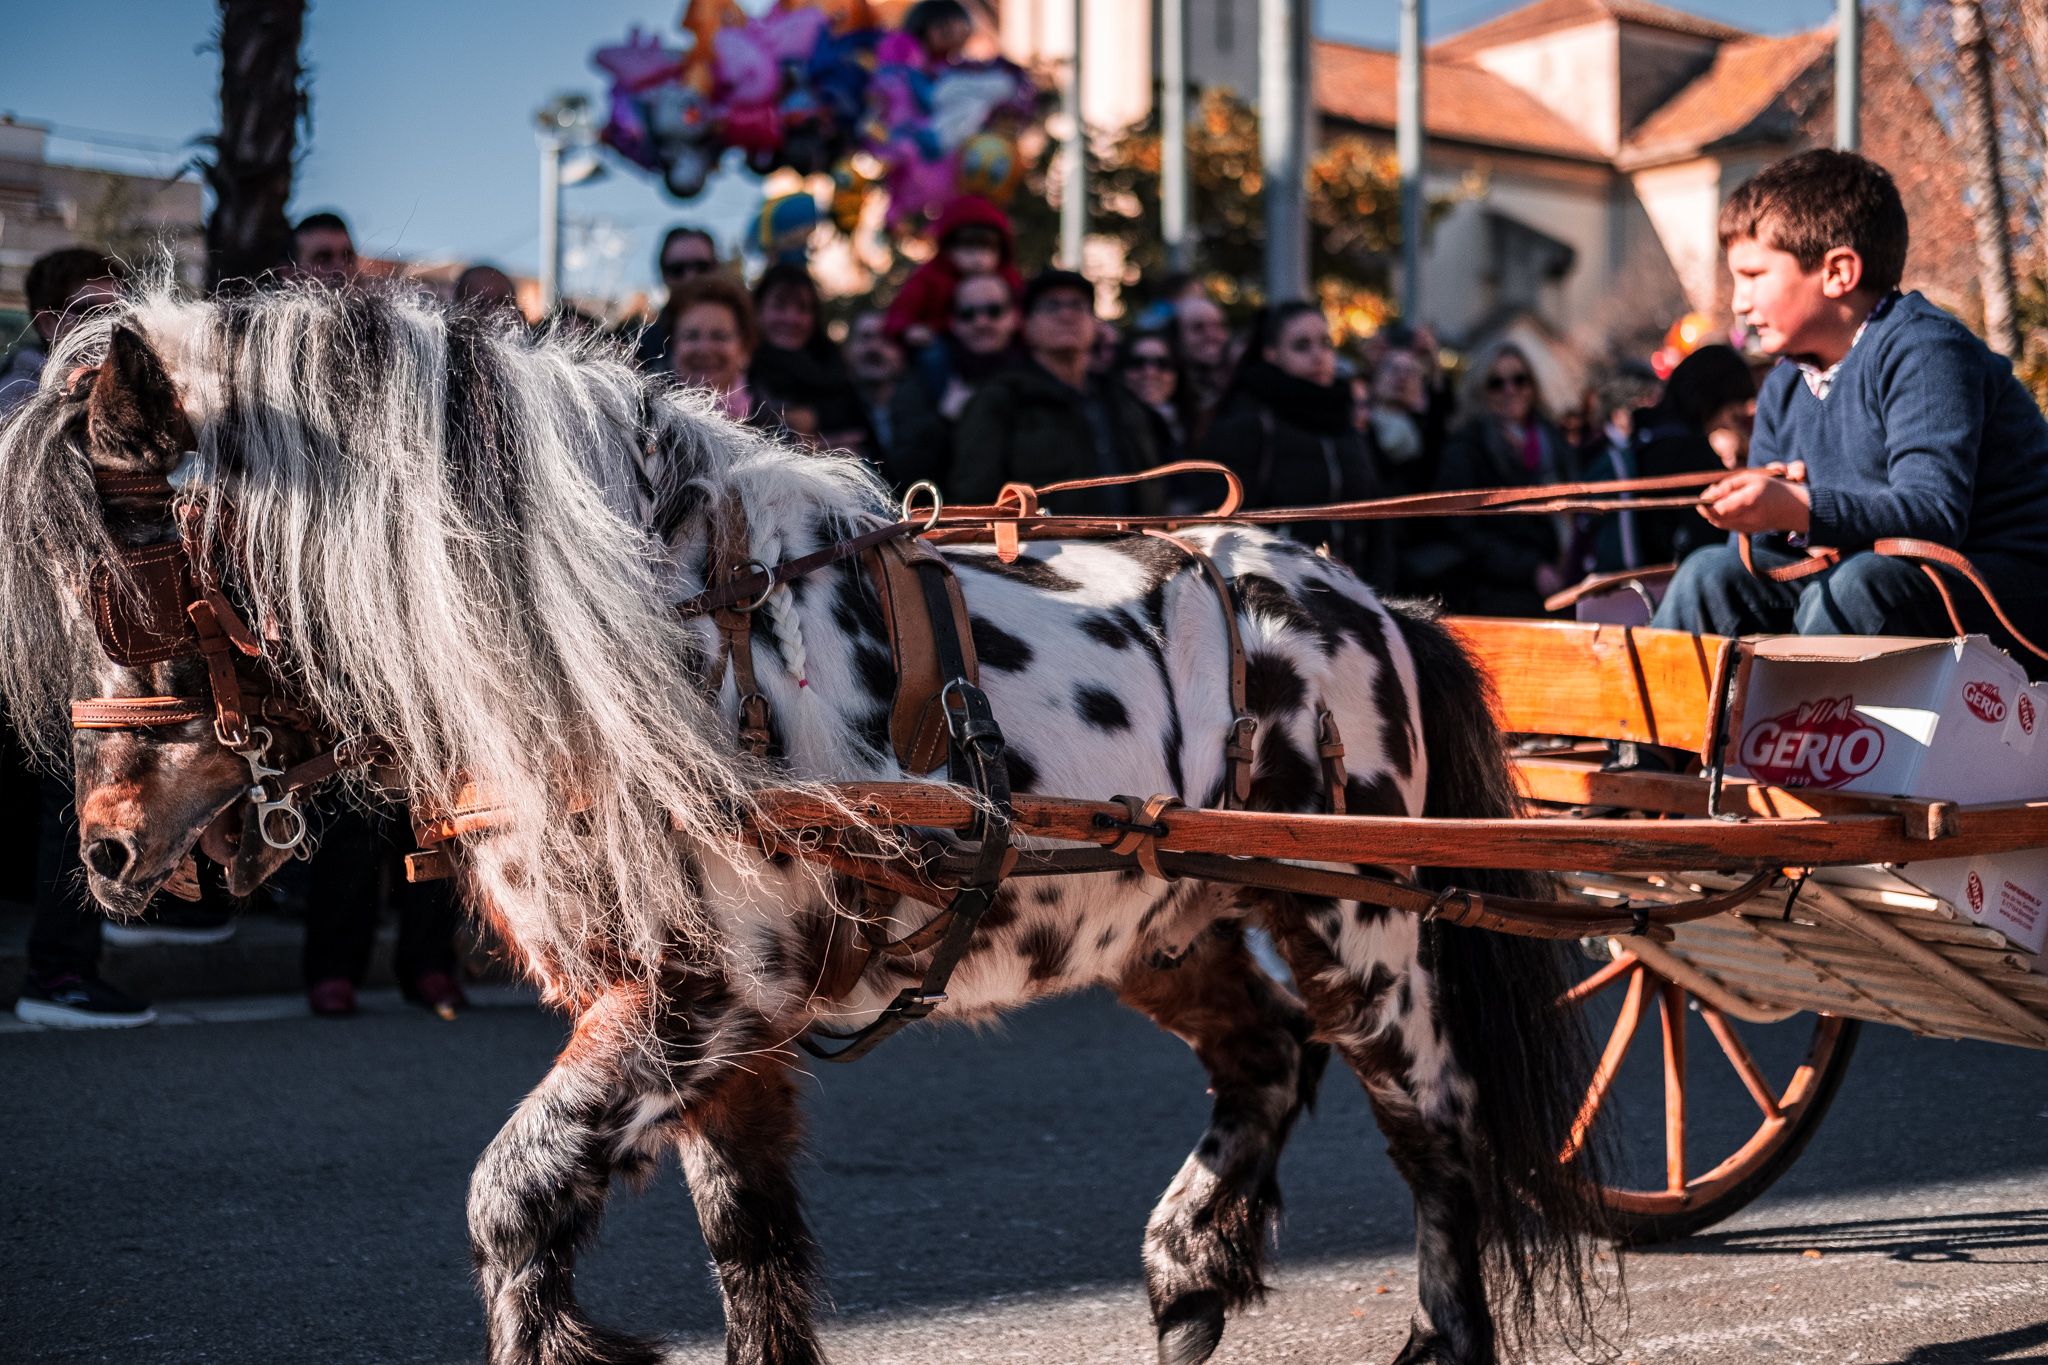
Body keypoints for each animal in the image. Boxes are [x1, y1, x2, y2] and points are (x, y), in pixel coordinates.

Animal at [0, 282, 1613, 1358]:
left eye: (120, 576)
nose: (106, 851)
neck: (646, 641)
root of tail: (1371, 600)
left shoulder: (707, 999)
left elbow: (514, 1208)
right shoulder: (723, 1036)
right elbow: (752, 1262)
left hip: (1363, 924)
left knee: (1435, 1132)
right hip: (1168, 926)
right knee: (1265, 1060)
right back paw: (1185, 1271)